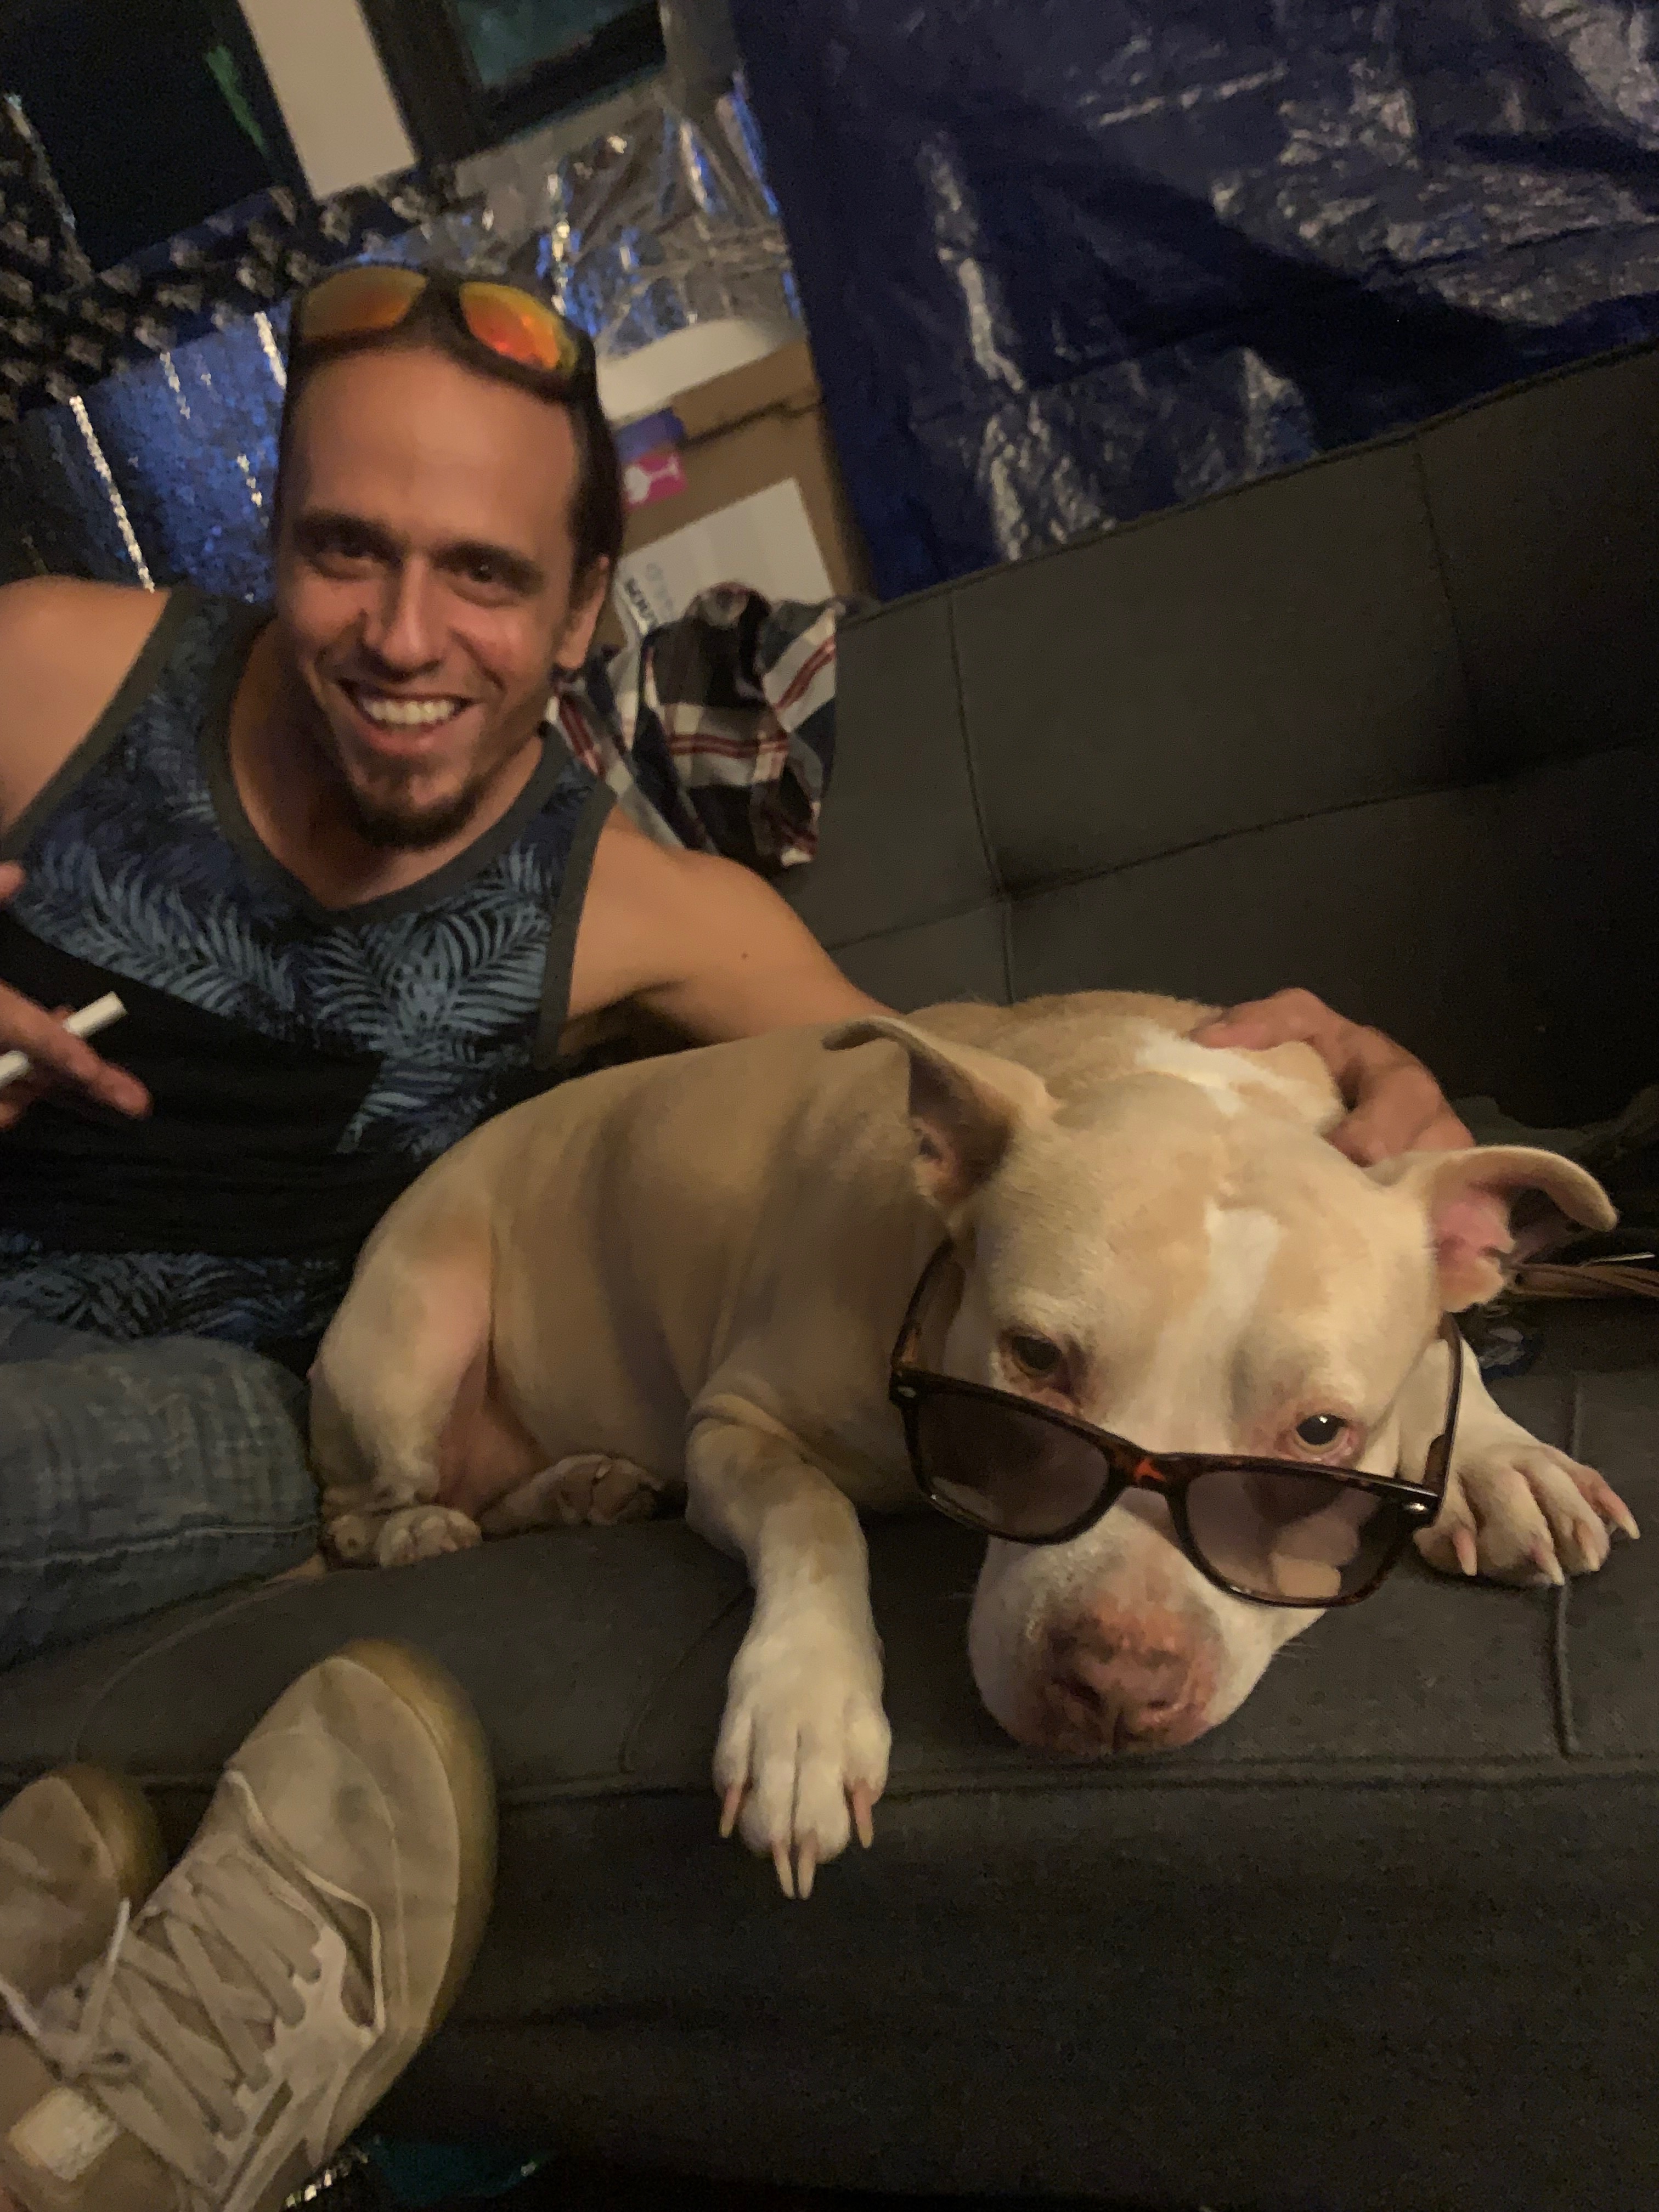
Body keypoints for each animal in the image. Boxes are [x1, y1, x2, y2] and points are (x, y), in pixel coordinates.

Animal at [310, 993, 1635, 1895]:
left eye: (1319, 1432)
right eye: (1035, 1360)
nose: (1115, 1684)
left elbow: (1452, 1356)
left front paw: (1502, 1465)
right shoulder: (737, 1422)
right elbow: (813, 1516)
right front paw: (805, 1709)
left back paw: (577, 1486)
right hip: (411, 1338)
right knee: (354, 1518)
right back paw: (425, 1526)